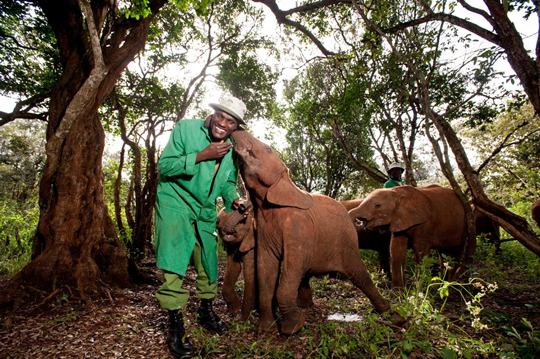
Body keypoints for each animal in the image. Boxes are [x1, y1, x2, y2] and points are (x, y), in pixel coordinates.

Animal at [230, 131, 394, 336]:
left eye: (268, 149)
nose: (237, 129)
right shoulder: (262, 229)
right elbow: (266, 270)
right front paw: (265, 329)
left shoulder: (298, 226)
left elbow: (291, 268)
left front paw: (292, 327)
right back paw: (306, 306)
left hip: (347, 241)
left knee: (359, 274)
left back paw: (389, 313)